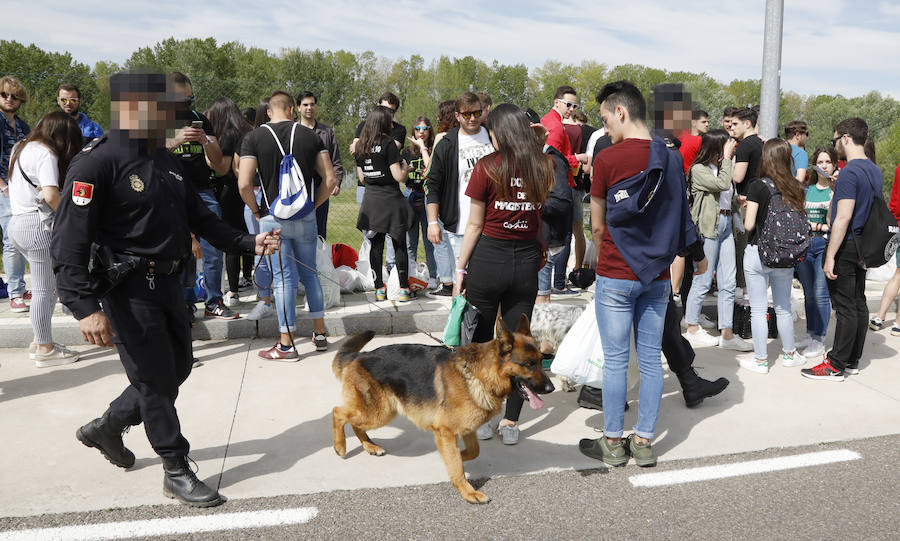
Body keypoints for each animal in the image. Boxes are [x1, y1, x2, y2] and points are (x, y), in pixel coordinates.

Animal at [332, 314, 552, 504]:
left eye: (542, 361)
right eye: (529, 364)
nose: (551, 388)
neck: (480, 375)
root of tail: (359, 356)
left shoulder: (466, 429)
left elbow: (472, 452)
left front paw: (457, 457)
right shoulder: (445, 431)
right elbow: (458, 465)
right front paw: (468, 492)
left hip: (380, 412)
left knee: (354, 422)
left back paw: (369, 446)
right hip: (379, 413)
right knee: (338, 413)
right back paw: (341, 446)